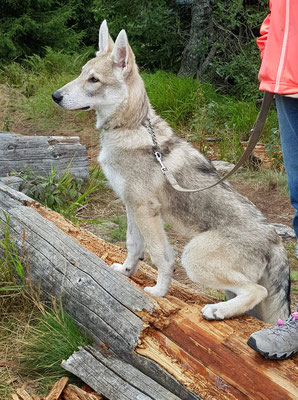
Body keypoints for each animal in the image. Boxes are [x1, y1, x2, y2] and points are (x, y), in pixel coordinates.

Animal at [52, 20, 290, 324]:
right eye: (82, 73)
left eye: (94, 80)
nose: (55, 96)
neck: (130, 128)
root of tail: (277, 243)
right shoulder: (132, 207)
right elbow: (133, 246)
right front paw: (126, 273)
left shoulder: (145, 209)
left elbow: (161, 256)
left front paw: (158, 293)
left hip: (194, 257)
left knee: (256, 291)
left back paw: (216, 310)